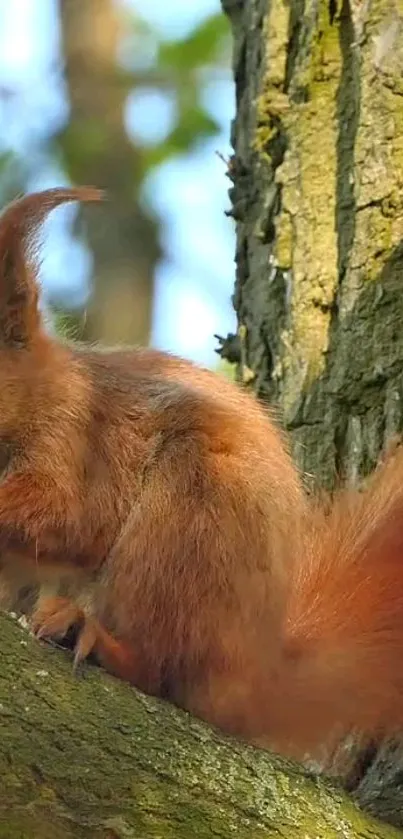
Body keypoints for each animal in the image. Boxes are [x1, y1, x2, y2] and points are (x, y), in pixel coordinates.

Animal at [2, 187, 403, 764]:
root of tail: (249, 677)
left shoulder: (80, 434)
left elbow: (70, 517)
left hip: (189, 521)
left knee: (158, 670)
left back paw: (93, 638)